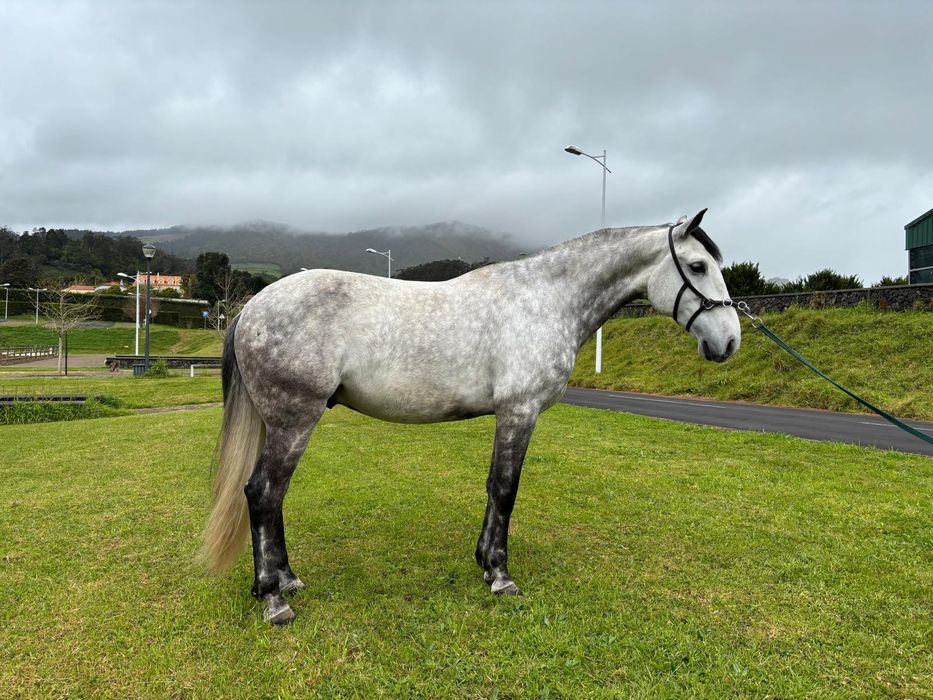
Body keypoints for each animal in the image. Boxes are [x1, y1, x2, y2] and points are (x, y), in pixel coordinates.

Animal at [201, 208, 741, 624]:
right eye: (697, 265)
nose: (729, 341)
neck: (545, 299)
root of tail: (251, 309)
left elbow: (492, 487)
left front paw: (484, 561)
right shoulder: (519, 412)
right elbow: (505, 489)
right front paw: (500, 575)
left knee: (272, 496)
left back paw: (287, 580)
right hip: (294, 420)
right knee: (263, 494)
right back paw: (274, 600)